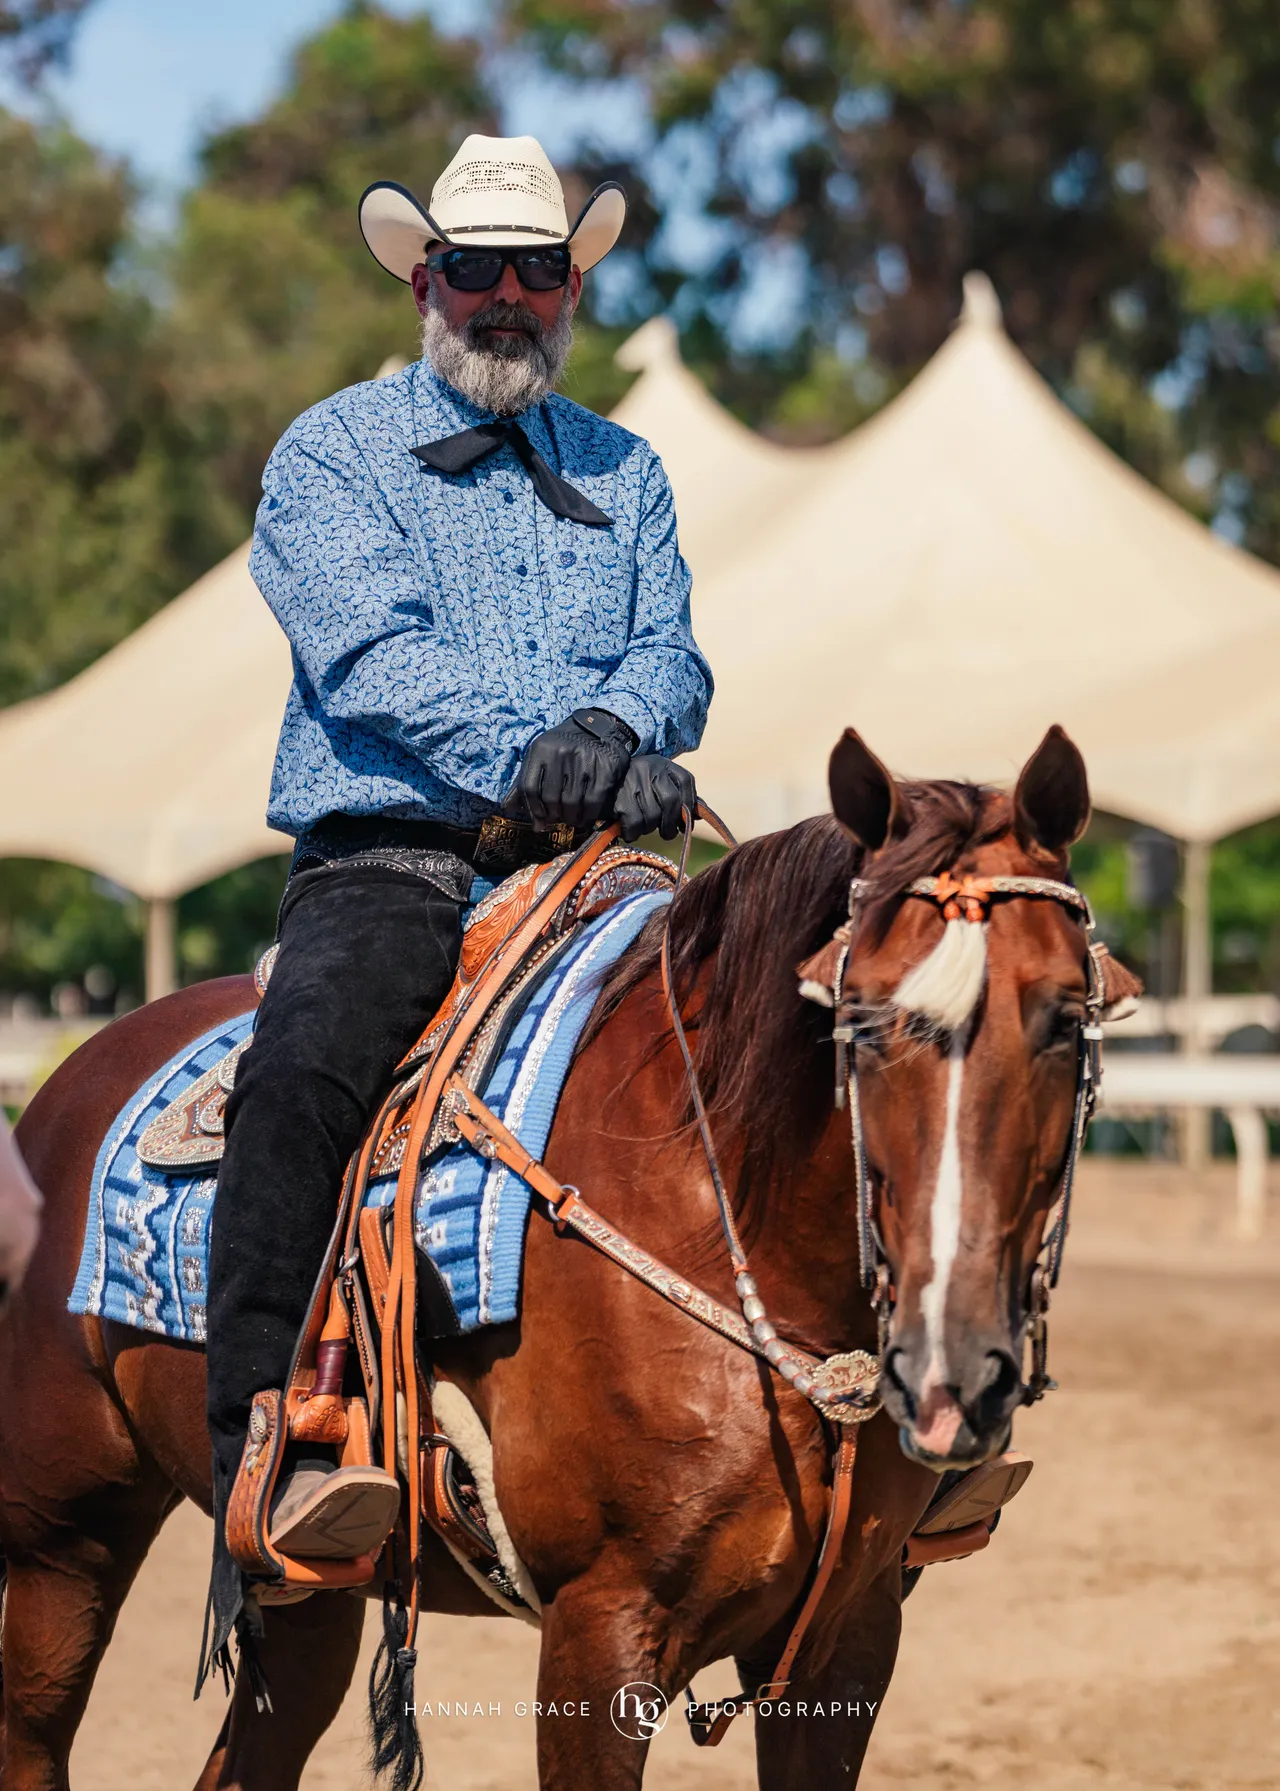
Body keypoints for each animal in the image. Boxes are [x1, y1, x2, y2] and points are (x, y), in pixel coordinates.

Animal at [0, 723, 1139, 1790]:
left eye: (1065, 1016)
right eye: (857, 1021)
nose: (955, 1368)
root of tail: (62, 1086)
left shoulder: (847, 1640)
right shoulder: (603, 1633)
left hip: (310, 1593)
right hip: (62, 1542)